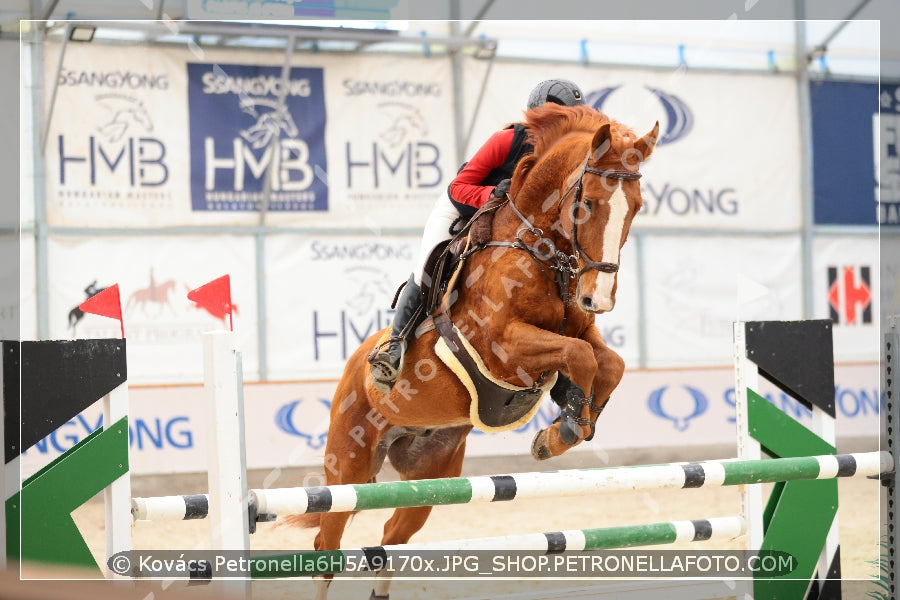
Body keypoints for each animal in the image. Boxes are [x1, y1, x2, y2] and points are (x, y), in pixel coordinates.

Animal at [298, 104, 656, 600]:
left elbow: (608, 362)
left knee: (392, 536)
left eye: (636, 208)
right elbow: (579, 356)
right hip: (348, 468)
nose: (598, 298)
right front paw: (561, 433)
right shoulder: (502, 347)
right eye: (587, 204)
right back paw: (387, 360)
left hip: (432, 473)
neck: (538, 249)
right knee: (325, 547)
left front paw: (576, 418)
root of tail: (352, 369)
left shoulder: (580, 327)